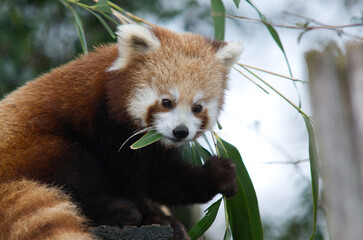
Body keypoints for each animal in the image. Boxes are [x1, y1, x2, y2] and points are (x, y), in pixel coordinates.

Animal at [0, 24, 245, 240]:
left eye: (197, 108)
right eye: (167, 102)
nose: (180, 132)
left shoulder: (151, 146)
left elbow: (165, 178)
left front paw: (218, 176)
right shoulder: (106, 126)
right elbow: (125, 179)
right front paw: (154, 217)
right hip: (37, 149)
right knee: (75, 172)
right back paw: (120, 212)